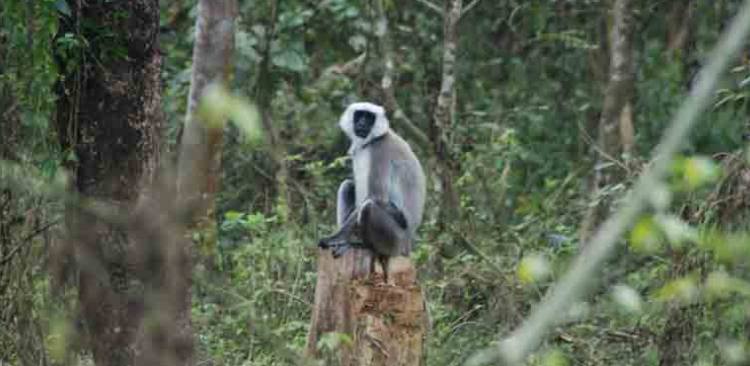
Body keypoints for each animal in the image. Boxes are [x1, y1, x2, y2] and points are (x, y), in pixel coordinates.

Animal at [318, 101, 428, 276]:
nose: (362, 123)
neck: (369, 143)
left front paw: (335, 238)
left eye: (369, 118)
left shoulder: (380, 150)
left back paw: (360, 244)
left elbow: (376, 197)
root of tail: (408, 245)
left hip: (395, 241)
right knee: (347, 186)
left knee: (368, 207)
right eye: (359, 115)